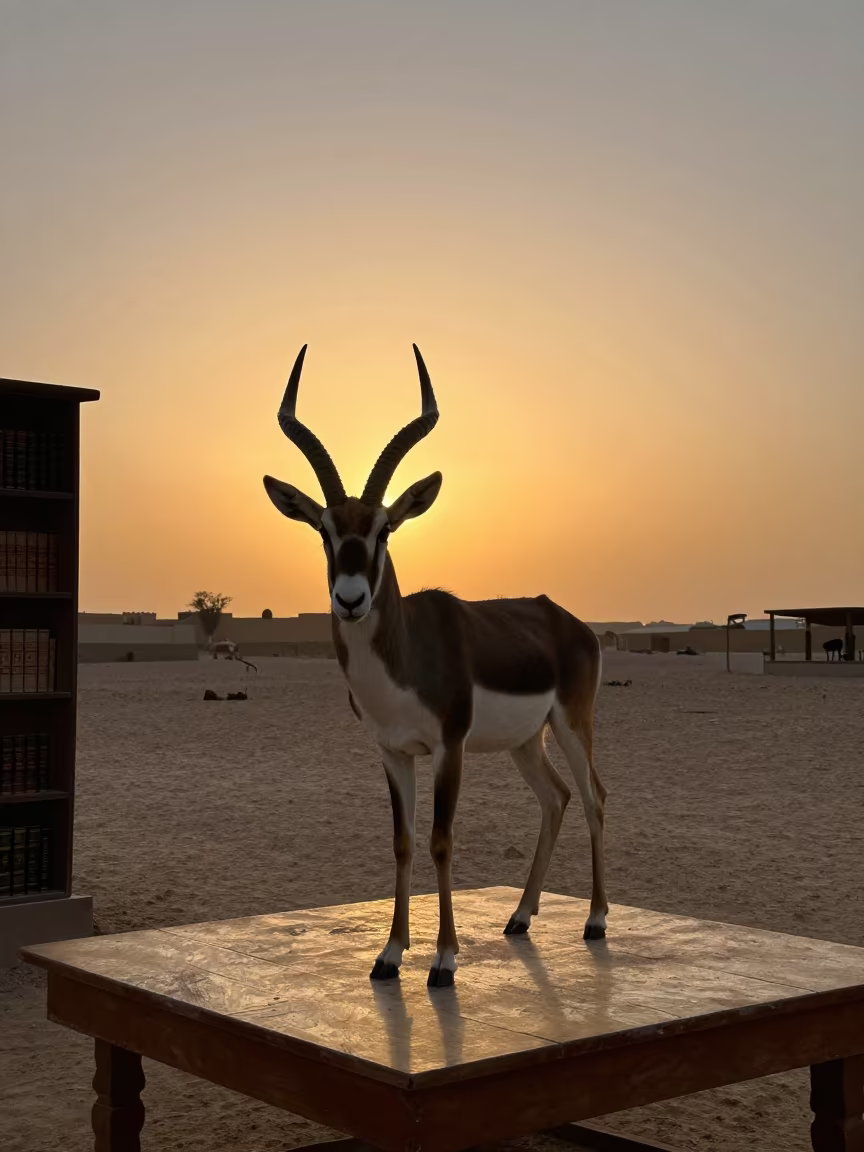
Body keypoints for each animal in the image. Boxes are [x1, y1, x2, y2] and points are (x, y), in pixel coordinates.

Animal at [264, 346, 607, 986]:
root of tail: (564, 618)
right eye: (324, 529)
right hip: (526, 742)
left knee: (594, 795)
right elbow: (402, 840)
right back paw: (520, 917)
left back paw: (596, 921)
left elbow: (441, 840)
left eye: (384, 529)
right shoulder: (393, 752)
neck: (404, 662)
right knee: (557, 798)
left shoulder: (450, 747)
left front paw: (444, 961)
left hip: (573, 724)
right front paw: (389, 955)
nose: (350, 598)